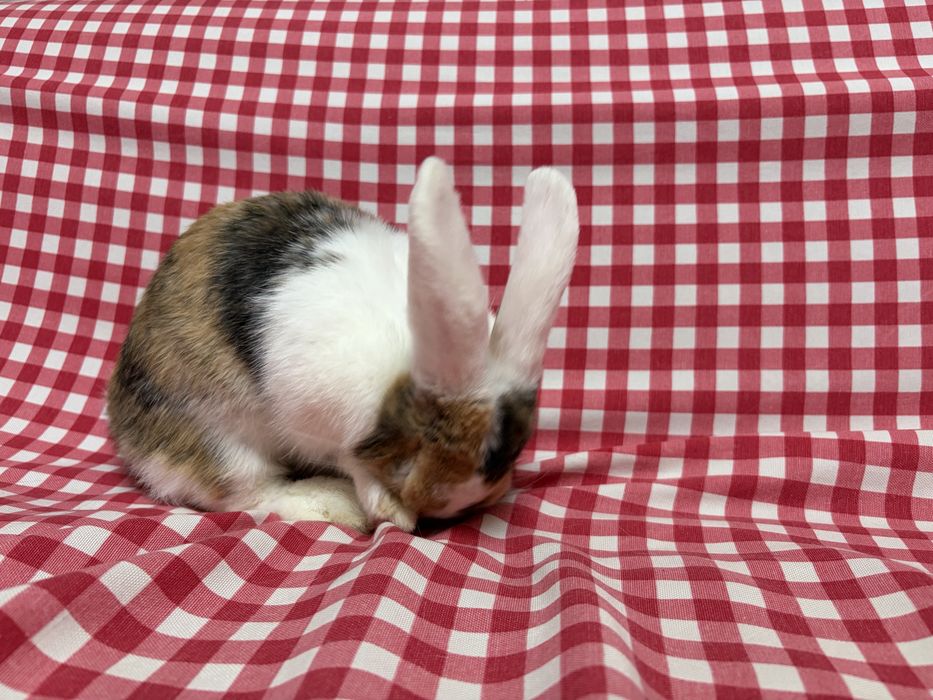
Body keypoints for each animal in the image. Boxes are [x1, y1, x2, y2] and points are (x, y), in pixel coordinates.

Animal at [106, 157, 579, 532]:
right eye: (408, 458)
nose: (440, 505)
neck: (408, 355)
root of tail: (123, 430)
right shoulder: (316, 417)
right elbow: (352, 463)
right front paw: (388, 509)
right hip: (216, 436)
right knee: (246, 492)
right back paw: (328, 504)